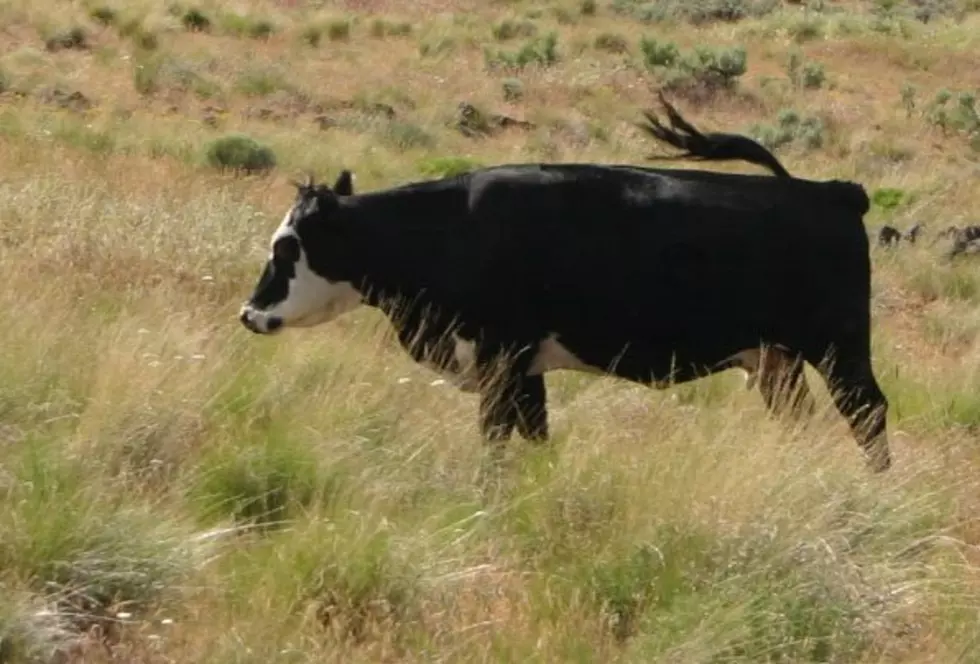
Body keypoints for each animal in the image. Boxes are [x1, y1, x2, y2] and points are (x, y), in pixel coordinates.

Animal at [235, 96, 888, 474]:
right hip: (779, 360)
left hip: (840, 348)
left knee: (868, 414)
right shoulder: (527, 371)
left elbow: (495, 442)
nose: (249, 314)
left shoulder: (501, 359)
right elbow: (536, 439)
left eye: (288, 248)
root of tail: (829, 191)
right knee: (800, 421)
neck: (450, 230)